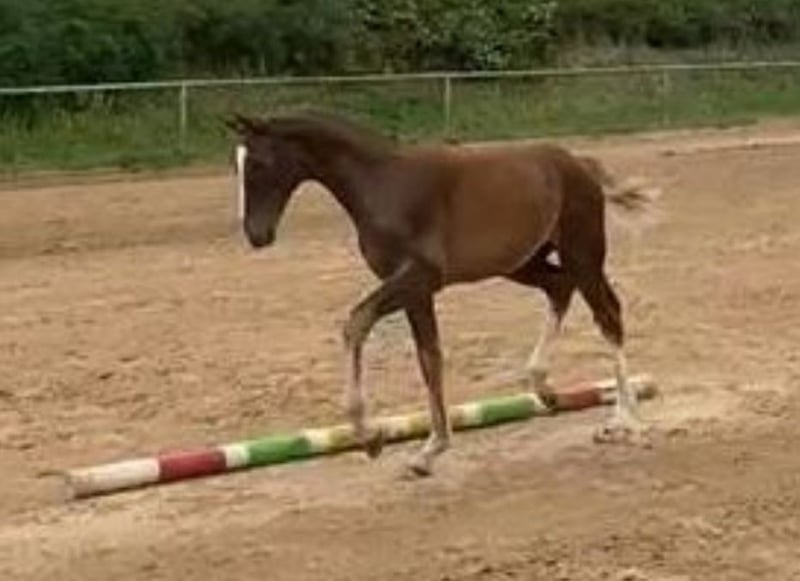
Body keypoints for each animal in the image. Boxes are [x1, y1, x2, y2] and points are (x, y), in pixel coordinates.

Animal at [226, 111, 659, 477]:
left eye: (259, 164)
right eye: (236, 166)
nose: (256, 235)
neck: (382, 185)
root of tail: (579, 164)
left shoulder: (418, 278)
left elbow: (357, 323)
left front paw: (372, 437)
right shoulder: (417, 291)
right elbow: (429, 359)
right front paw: (428, 450)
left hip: (582, 253)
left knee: (608, 315)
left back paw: (622, 420)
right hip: (523, 264)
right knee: (560, 288)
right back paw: (544, 388)